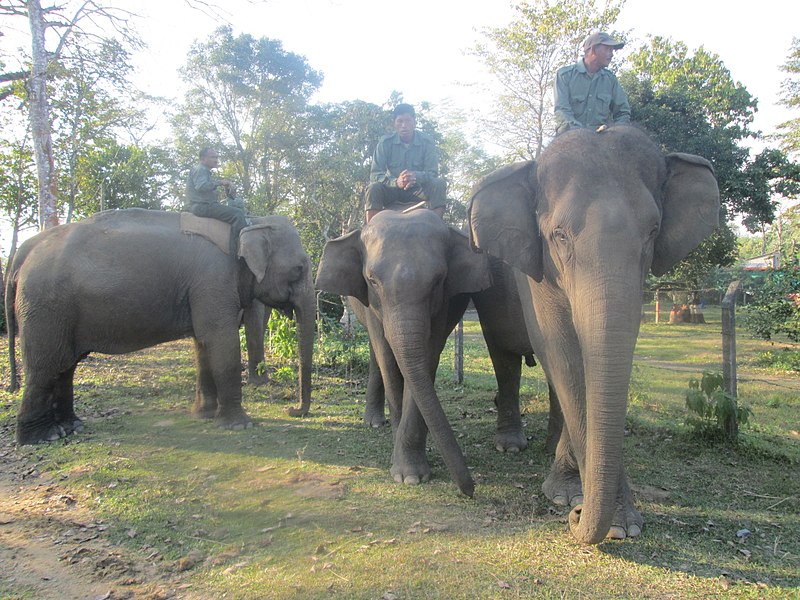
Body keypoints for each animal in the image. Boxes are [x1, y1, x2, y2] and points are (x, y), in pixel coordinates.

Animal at [6, 209, 314, 442]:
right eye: (299, 268)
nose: (292, 410)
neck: (250, 222)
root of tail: (29, 247)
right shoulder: (213, 278)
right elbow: (220, 339)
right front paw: (240, 425)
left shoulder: (200, 289)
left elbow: (202, 342)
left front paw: (203, 415)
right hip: (45, 307)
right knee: (45, 367)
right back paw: (42, 437)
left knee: (64, 366)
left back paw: (71, 427)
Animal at [316, 211, 552, 496]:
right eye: (372, 280)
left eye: (439, 280)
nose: (470, 490)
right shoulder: (371, 303)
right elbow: (389, 360)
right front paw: (401, 464)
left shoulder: (445, 303)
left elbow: (427, 357)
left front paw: (411, 475)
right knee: (376, 355)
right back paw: (374, 423)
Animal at [466, 125, 720, 544]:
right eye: (559, 235)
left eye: (652, 232)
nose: (577, 516)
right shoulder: (535, 274)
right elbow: (563, 352)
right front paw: (589, 508)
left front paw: (605, 515)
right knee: (505, 358)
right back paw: (511, 446)